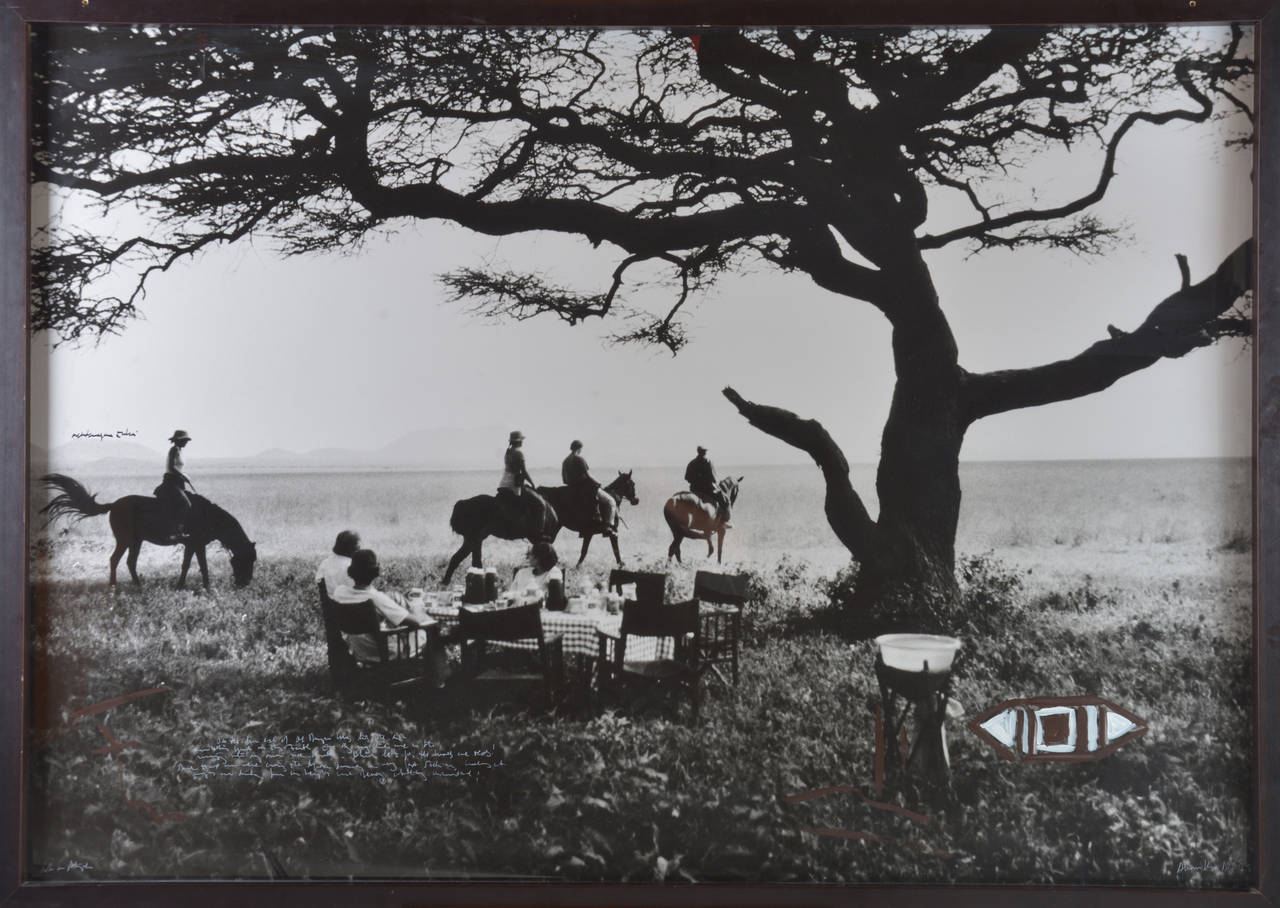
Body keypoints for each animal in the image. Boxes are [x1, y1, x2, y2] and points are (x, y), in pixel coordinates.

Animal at [40, 471, 256, 591]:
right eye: (247, 560)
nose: (245, 583)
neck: (207, 515)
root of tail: (113, 505)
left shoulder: (194, 545)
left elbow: (193, 565)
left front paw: (193, 586)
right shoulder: (195, 543)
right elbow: (195, 565)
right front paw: (196, 586)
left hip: (136, 541)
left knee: (130, 562)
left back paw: (138, 586)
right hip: (125, 540)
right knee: (115, 560)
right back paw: (114, 587)